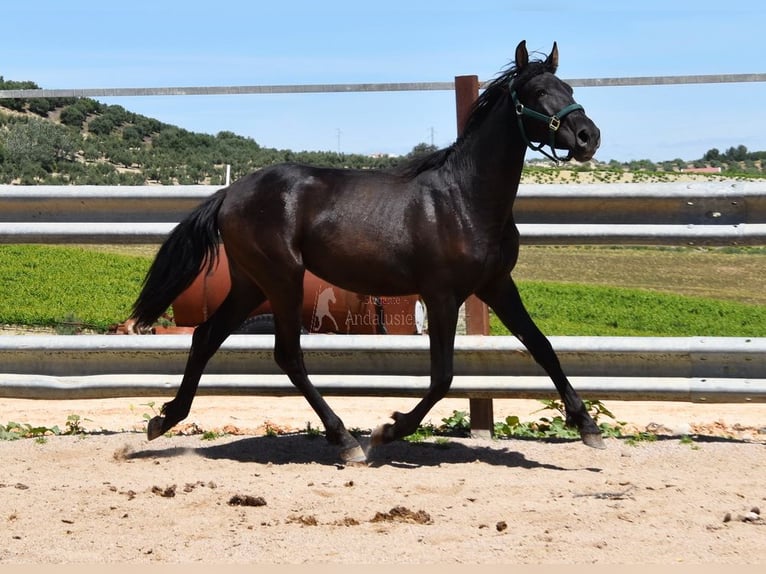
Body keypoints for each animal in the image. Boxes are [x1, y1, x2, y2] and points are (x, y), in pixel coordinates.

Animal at [132, 40, 608, 464]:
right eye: (537, 92)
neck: (465, 199)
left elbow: (542, 346)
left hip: (251, 284)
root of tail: (229, 194)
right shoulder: (440, 295)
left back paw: (164, 420)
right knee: (287, 354)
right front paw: (388, 430)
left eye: (568, 88)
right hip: (282, 280)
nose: (589, 136)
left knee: (205, 336)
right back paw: (345, 440)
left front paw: (588, 426)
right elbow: (442, 376)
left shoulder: (496, 285)